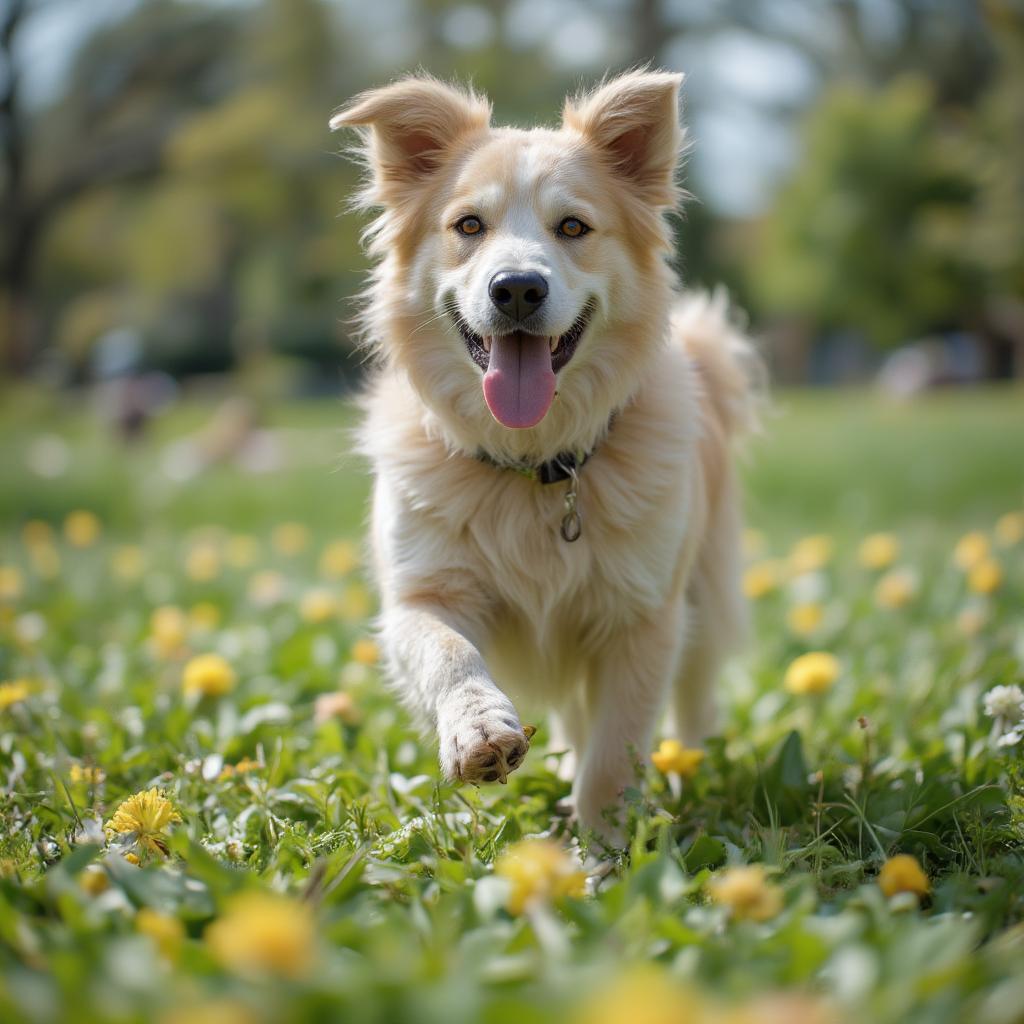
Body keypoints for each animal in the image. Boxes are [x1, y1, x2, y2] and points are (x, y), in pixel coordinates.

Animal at [329, 70, 761, 839]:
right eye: (469, 226)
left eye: (573, 228)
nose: (518, 288)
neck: (531, 461)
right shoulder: (420, 594)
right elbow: (449, 654)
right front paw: (478, 731)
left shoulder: (644, 618)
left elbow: (617, 753)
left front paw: (604, 852)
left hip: (704, 595)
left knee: (694, 702)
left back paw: (686, 771)